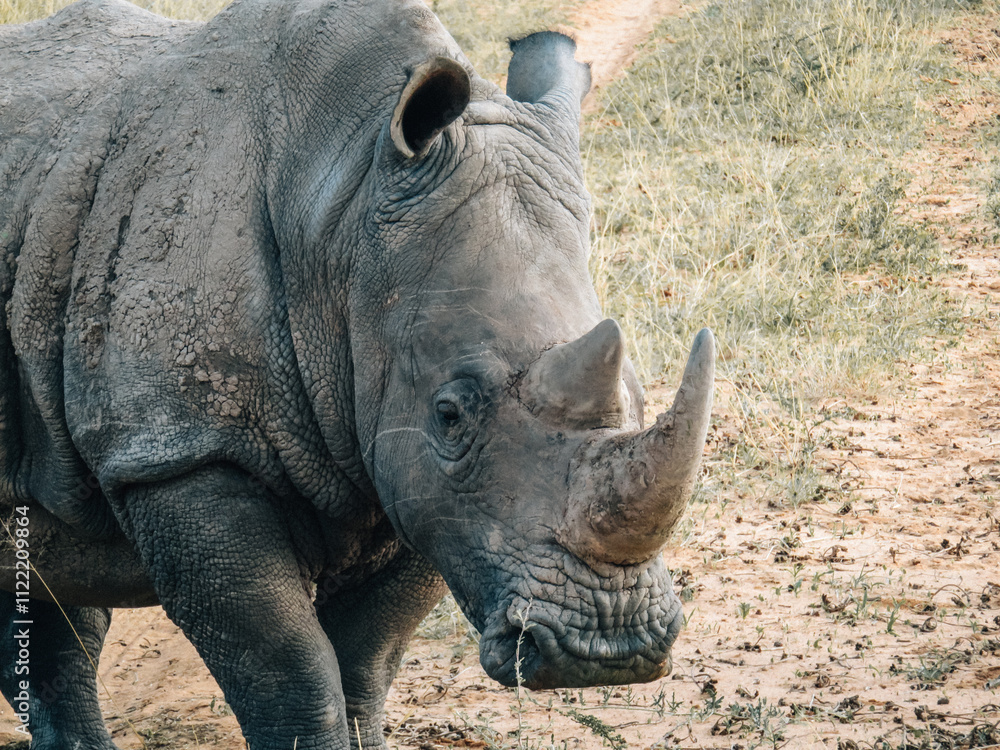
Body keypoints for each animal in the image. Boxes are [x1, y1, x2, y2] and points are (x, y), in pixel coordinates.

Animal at [0, 0, 715, 747]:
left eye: (640, 396)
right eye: (449, 415)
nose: (607, 647)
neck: (341, 223)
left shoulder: (403, 462)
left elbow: (366, 658)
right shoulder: (176, 448)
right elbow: (290, 669)